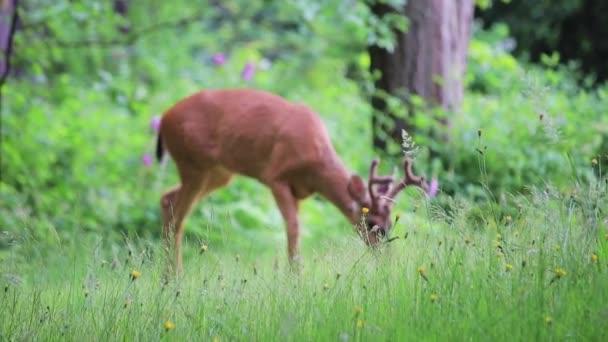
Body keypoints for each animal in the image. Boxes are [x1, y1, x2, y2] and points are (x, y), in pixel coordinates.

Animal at [157, 88, 432, 272]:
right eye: (372, 222)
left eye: (390, 223)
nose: (383, 255)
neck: (315, 163)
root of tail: (163, 119)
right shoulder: (275, 176)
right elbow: (293, 228)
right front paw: (295, 275)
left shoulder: (301, 191)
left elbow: (296, 229)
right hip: (193, 163)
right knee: (177, 214)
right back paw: (175, 277)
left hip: (218, 172)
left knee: (167, 199)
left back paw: (168, 277)